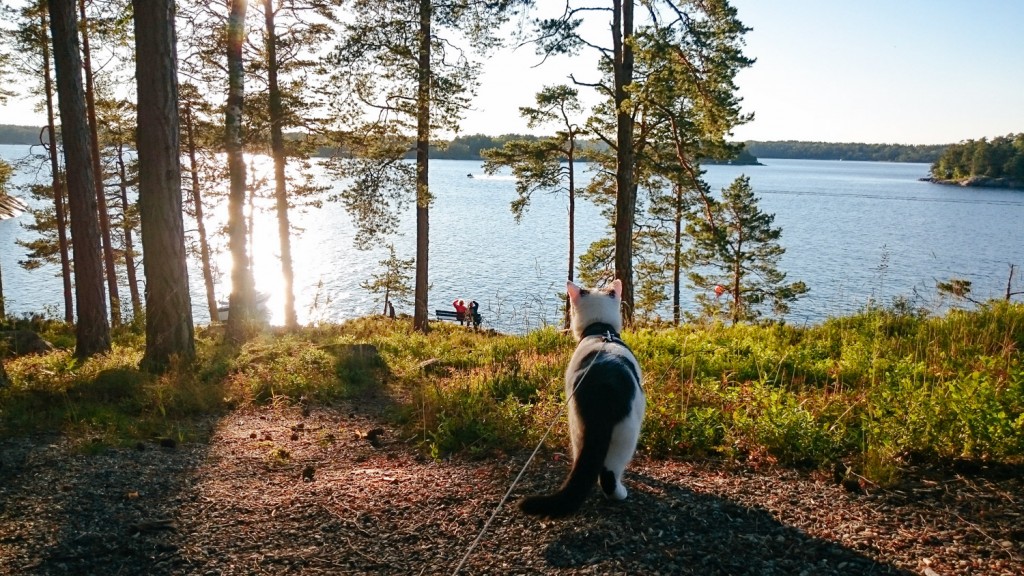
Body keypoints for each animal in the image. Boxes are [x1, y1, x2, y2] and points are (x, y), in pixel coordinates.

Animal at [524, 278, 643, 516]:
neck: (600, 330)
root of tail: (604, 384)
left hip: (579, 426)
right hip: (626, 434)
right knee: (608, 474)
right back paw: (620, 493)